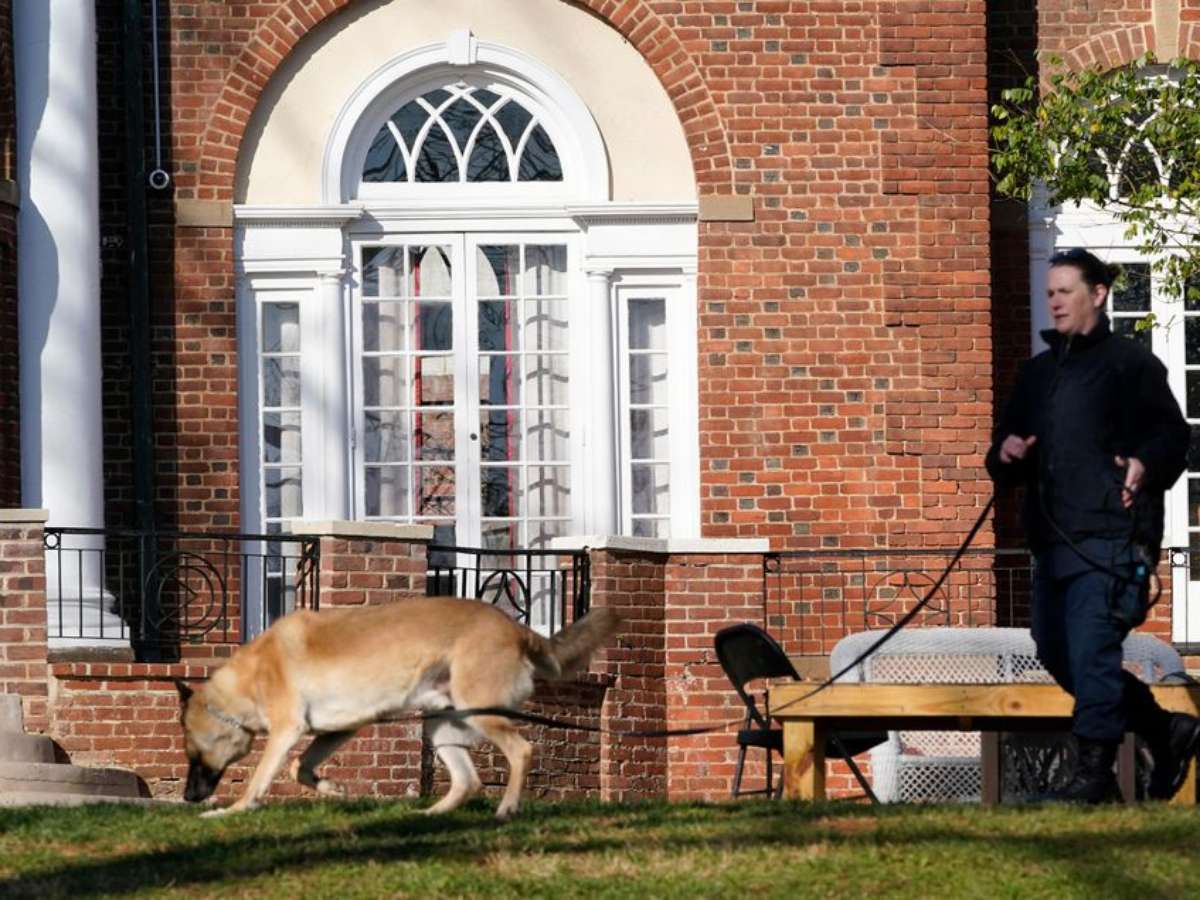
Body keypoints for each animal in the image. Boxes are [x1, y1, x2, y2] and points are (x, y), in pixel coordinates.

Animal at [175, 595, 624, 820]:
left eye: (194, 755)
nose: (189, 798)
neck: (246, 680)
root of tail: (516, 627)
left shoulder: (287, 731)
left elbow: (261, 777)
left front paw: (233, 810)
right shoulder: (338, 730)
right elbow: (298, 767)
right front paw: (331, 788)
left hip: (480, 709)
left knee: (522, 750)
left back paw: (507, 808)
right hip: (442, 726)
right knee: (468, 781)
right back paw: (429, 814)